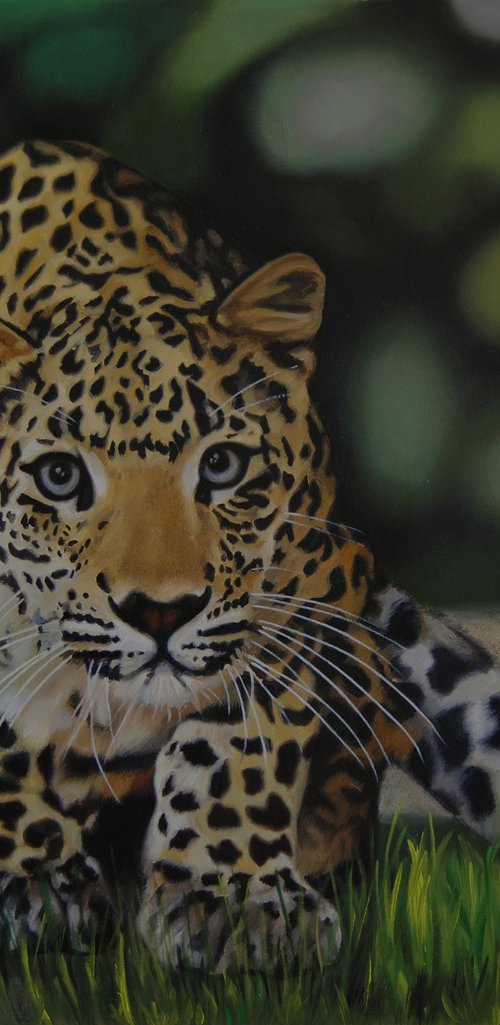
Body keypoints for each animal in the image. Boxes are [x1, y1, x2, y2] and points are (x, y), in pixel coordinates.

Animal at [0, 138, 497, 971]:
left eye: (224, 465)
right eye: (60, 477)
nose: (160, 612)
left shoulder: (316, 594)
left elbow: (234, 741)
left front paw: (231, 900)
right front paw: (30, 876)